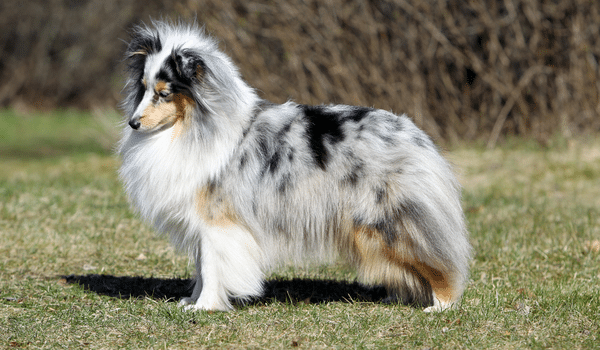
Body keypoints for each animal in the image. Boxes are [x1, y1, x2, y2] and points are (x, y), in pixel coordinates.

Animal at [117, 19, 472, 312]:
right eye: (144, 88)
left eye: (164, 93)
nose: (134, 123)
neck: (194, 126)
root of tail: (415, 134)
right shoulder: (203, 224)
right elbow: (201, 267)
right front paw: (192, 301)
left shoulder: (218, 222)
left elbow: (212, 268)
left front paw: (204, 307)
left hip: (392, 223)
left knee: (440, 263)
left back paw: (441, 306)